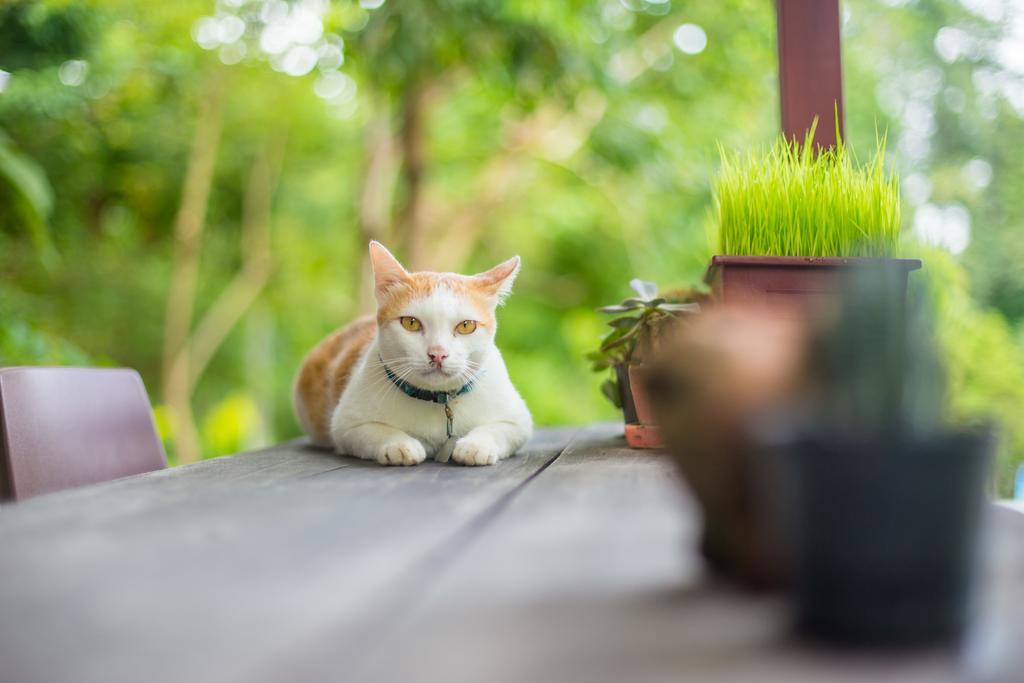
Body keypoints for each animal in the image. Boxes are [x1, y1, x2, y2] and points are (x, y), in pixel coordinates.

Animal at [292, 242, 532, 466]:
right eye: (411, 323)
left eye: (466, 326)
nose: (437, 354)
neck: (437, 400)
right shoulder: (346, 424)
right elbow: (374, 430)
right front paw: (399, 444)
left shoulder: (519, 421)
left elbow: (498, 429)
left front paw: (476, 445)